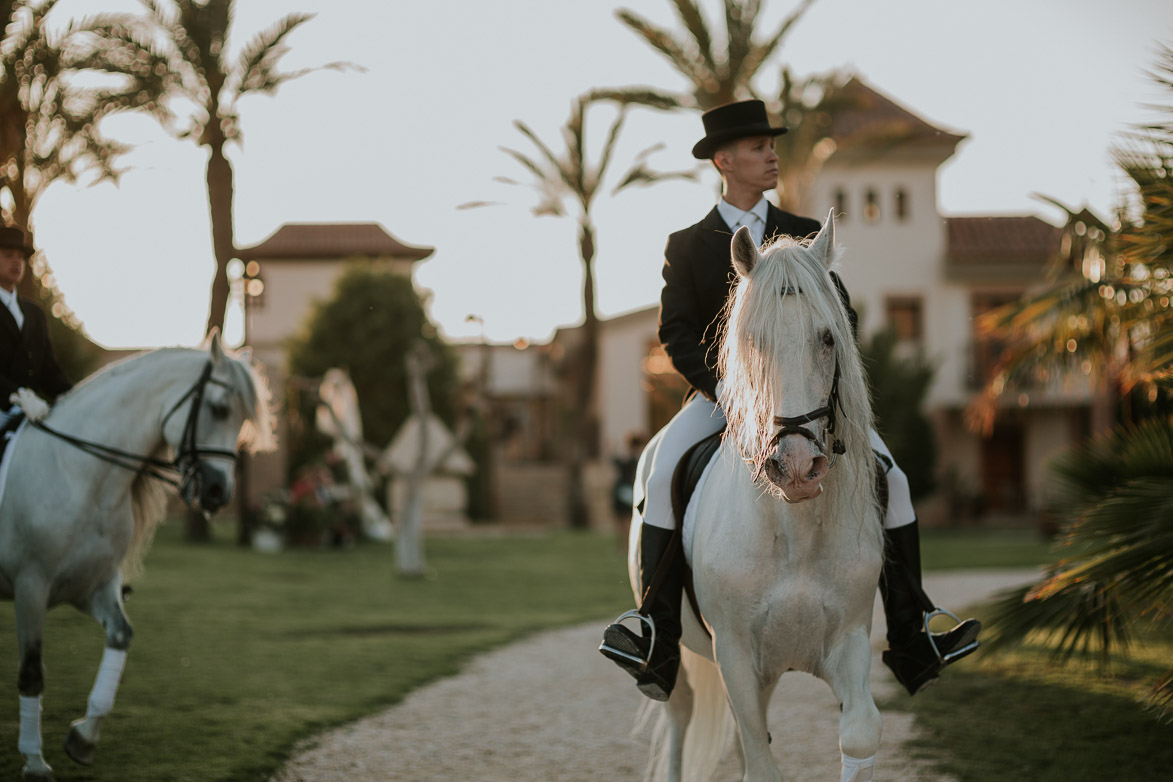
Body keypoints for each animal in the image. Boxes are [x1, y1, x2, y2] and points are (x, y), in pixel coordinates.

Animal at [0, 337, 273, 782]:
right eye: (218, 409)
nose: (219, 494)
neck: (78, 473)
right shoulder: (31, 586)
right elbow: (31, 672)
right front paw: (36, 762)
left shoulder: (93, 585)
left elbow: (121, 636)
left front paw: (83, 737)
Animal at [633, 214, 882, 782]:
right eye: (750, 340)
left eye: (828, 337)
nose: (795, 467)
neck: (793, 530)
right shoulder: (734, 654)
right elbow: (761, 763)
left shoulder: (850, 640)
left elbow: (858, 734)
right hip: (682, 663)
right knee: (680, 720)